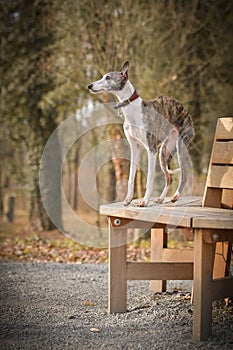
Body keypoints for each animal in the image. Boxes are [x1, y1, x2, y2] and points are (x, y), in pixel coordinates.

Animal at [88, 61, 194, 206]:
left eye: (108, 77)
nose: (89, 86)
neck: (131, 109)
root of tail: (184, 109)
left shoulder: (151, 150)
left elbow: (149, 178)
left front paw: (144, 201)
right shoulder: (134, 148)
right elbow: (131, 177)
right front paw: (128, 199)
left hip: (179, 146)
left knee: (184, 175)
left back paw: (175, 196)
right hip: (164, 152)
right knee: (169, 178)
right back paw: (161, 198)